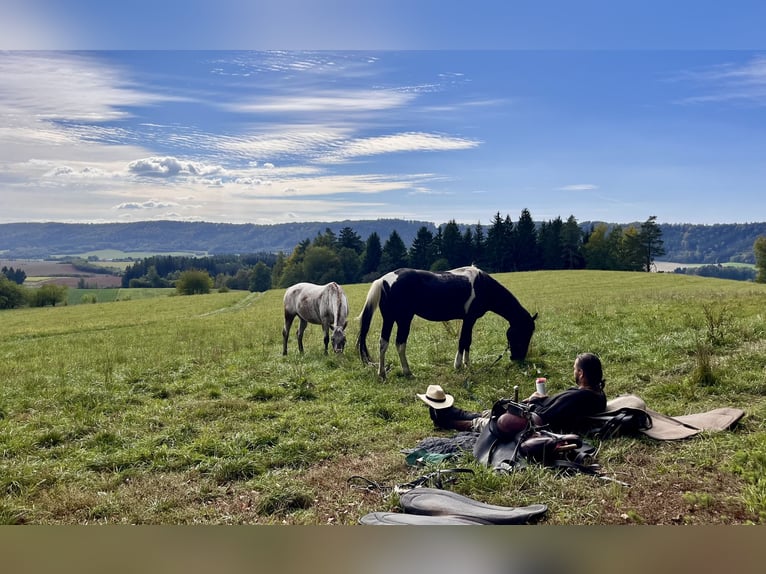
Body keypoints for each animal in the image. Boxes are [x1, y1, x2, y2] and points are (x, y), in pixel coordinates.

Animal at [357, 266, 537, 378]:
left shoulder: (470, 320)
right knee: (400, 344)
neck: (483, 286)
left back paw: (382, 373)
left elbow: (468, 341)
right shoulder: (469, 318)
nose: (517, 358)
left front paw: (467, 364)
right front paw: (458, 365)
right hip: (403, 319)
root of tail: (384, 280)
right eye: (524, 332)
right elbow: (463, 340)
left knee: (383, 343)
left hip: (389, 319)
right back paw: (407, 372)